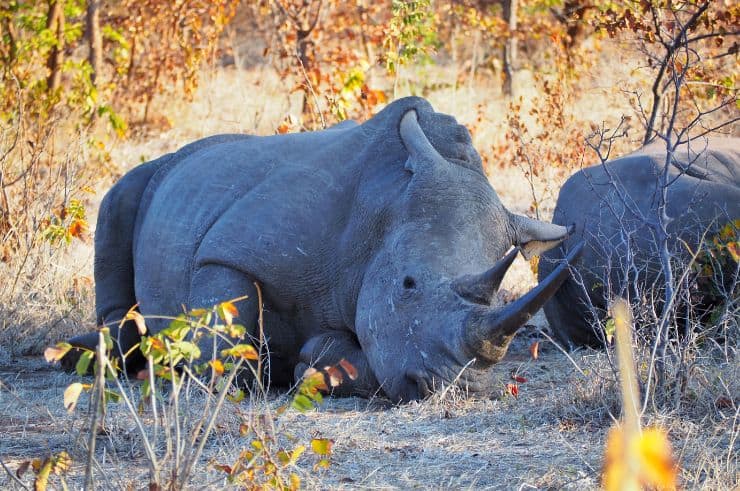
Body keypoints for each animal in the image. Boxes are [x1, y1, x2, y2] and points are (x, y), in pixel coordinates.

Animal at [62, 98, 584, 402]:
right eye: (408, 284)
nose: (450, 388)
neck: (384, 206)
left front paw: (315, 362)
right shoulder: (228, 250)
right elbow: (227, 336)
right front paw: (221, 377)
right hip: (153, 174)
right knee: (120, 202)